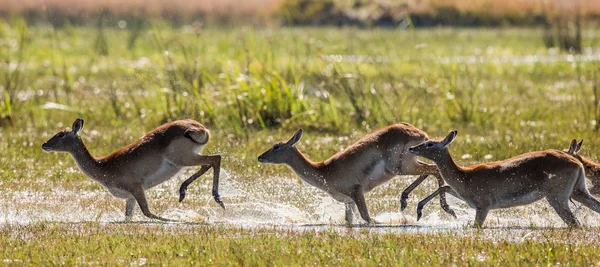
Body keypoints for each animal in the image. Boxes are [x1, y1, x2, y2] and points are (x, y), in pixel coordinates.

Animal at [42, 119, 224, 222]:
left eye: (60, 135)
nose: (44, 145)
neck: (103, 165)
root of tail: (200, 127)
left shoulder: (136, 188)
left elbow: (147, 212)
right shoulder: (130, 197)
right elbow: (128, 217)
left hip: (183, 159)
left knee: (216, 158)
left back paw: (217, 200)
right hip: (188, 159)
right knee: (208, 163)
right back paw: (183, 192)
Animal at [255, 124, 458, 226]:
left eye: (276, 146)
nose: (260, 157)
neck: (324, 170)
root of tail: (419, 133)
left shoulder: (356, 192)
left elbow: (368, 218)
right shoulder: (348, 202)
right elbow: (349, 220)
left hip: (401, 168)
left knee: (435, 170)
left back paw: (439, 209)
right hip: (408, 164)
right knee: (432, 170)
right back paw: (406, 201)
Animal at [410, 131, 600, 229]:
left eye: (430, 144)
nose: (412, 148)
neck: (465, 175)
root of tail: (576, 162)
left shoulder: (483, 207)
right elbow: (444, 187)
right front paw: (419, 211)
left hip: (557, 198)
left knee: (575, 223)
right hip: (578, 192)